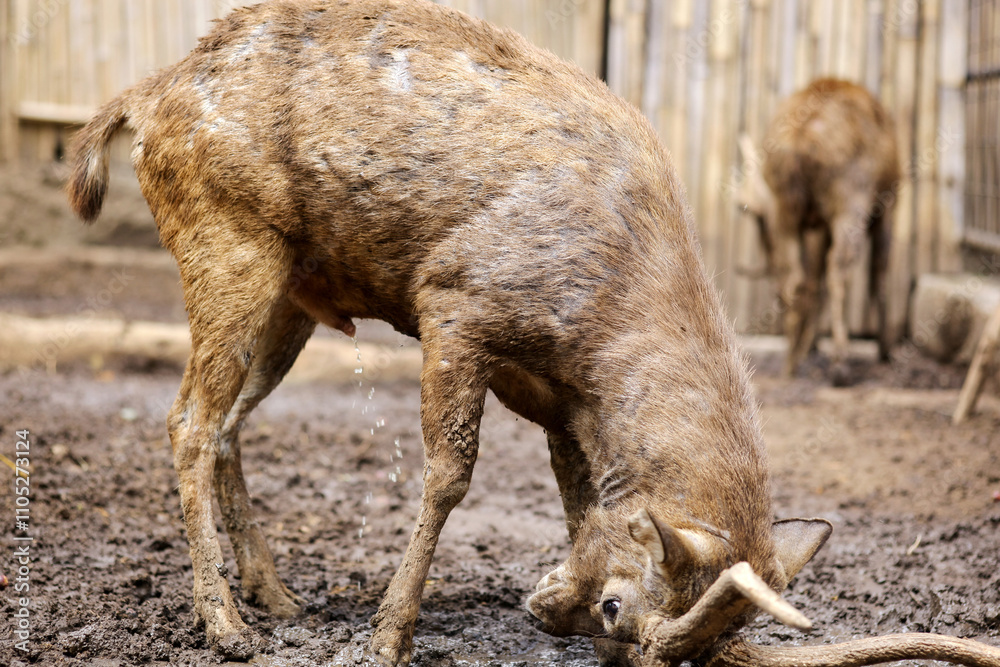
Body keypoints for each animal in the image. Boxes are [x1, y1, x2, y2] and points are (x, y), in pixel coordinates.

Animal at [737, 79, 901, 386]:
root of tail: (801, 137)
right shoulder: (888, 206)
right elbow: (878, 273)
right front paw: (885, 350)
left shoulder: (817, 224)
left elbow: (815, 279)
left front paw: (808, 345)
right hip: (851, 198)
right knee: (839, 271)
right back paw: (840, 364)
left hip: (787, 210)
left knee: (798, 279)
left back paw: (791, 361)